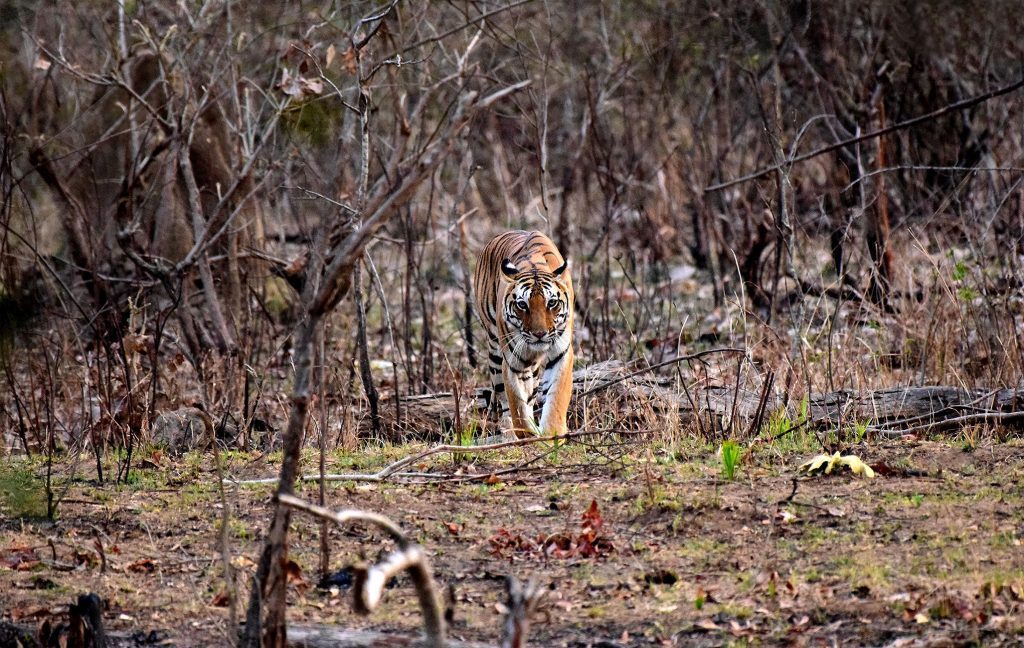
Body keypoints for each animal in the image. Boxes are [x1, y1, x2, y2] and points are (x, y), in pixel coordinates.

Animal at [473, 230, 577, 438]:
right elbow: (517, 405)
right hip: (495, 348)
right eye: (522, 304)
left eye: (551, 303)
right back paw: (508, 433)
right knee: (502, 397)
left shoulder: (562, 353)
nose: (539, 334)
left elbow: (556, 397)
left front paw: (552, 432)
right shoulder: (513, 361)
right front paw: (526, 435)